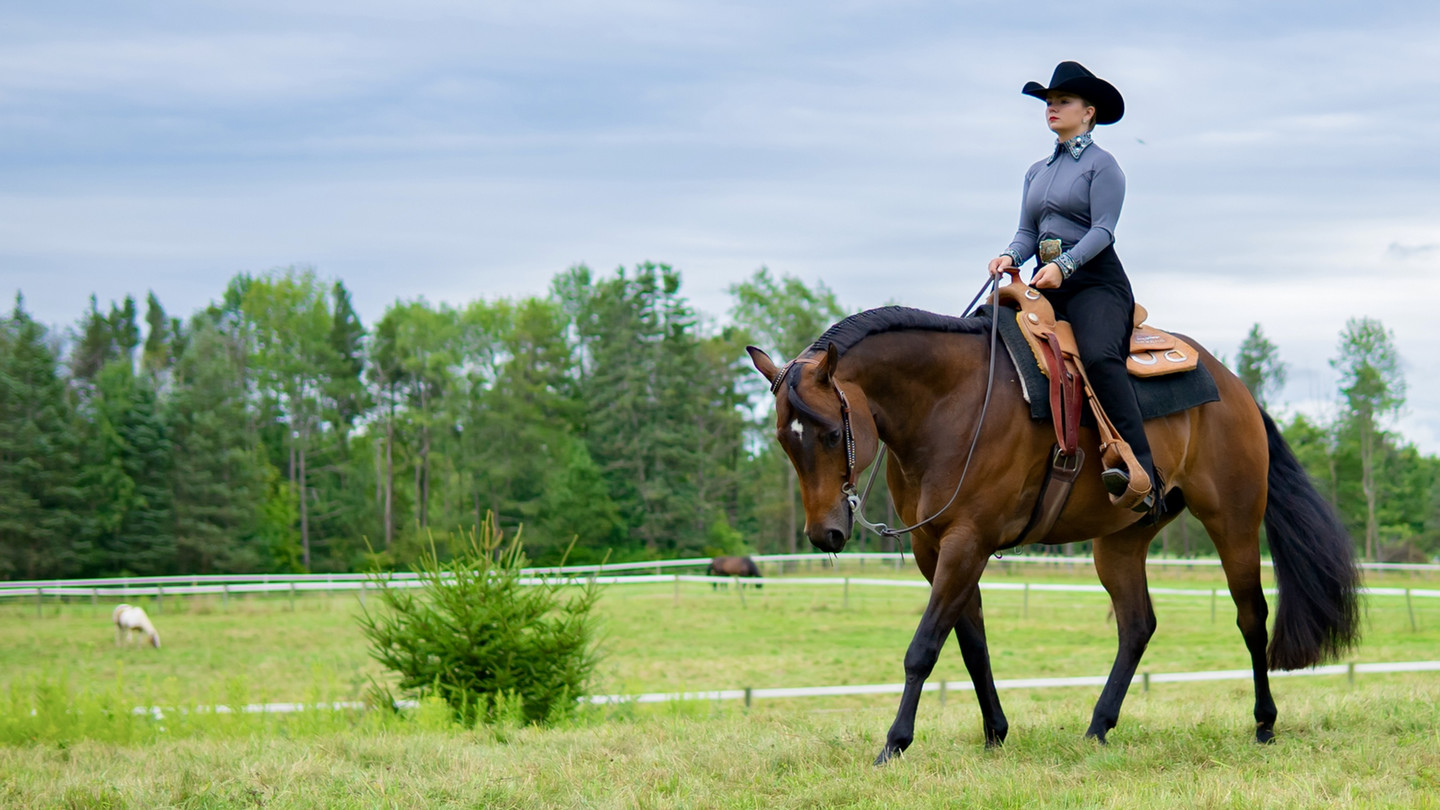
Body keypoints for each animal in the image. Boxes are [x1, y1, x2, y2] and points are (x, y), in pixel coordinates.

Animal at [746, 305, 1359, 765]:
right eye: (782, 439)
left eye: (830, 434)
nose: (825, 533)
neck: (951, 404)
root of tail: (1234, 388)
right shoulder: (935, 548)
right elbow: (970, 644)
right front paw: (994, 734)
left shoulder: (968, 542)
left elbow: (924, 648)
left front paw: (894, 745)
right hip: (1120, 541)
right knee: (1137, 625)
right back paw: (1098, 727)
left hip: (1232, 522)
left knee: (1252, 618)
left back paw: (1264, 724)